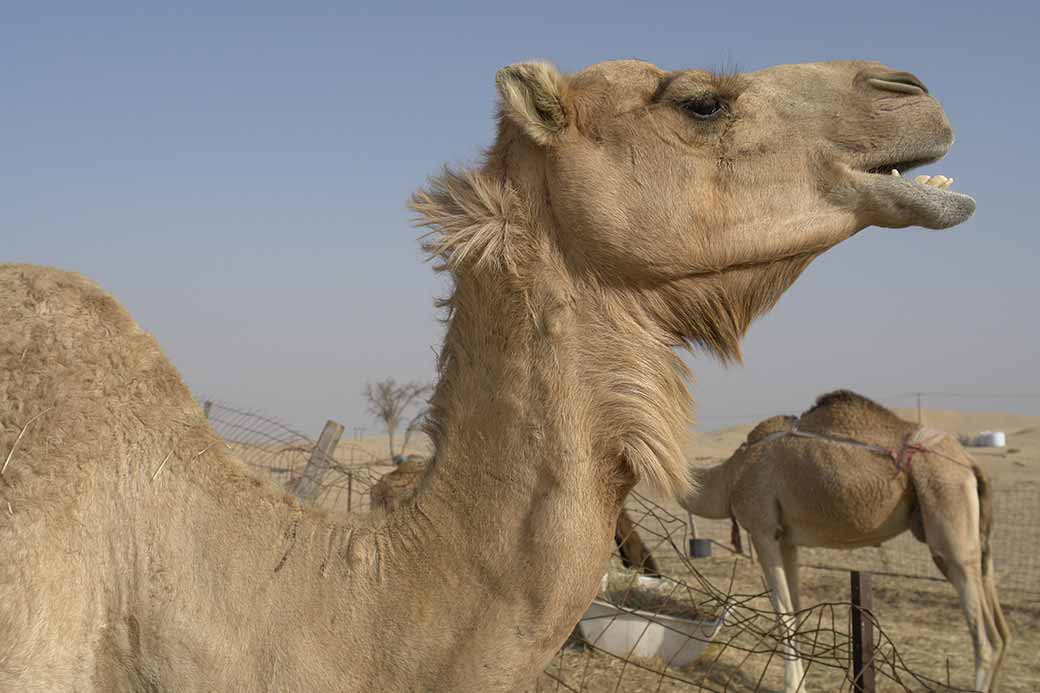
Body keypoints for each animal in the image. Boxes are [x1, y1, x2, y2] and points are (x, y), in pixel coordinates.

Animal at [679, 390, 1011, 692]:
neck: (730, 476)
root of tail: (970, 464)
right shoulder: (786, 538)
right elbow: (795, 611)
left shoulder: (762, 529)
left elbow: (782, 613)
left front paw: (793, 687)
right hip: (973, 537)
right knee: (1000, 627)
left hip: (947, 504)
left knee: (986, 638)